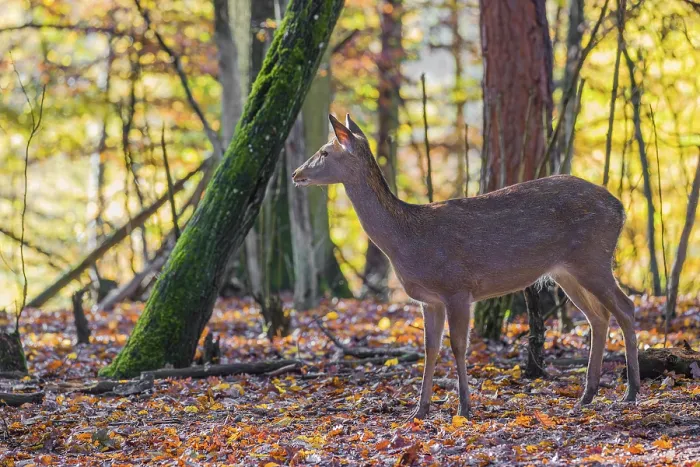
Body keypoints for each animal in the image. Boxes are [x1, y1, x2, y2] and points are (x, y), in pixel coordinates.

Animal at [292, 113, 640, 420]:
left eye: (324, 151)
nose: (296, 173)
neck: (406, 241)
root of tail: (621, 209)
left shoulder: (457, 287)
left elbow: (459, 347)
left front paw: (464, 408)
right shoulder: (429, 300)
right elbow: (430, 349)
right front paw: (419, 410)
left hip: (593, 257)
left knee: (626, 307)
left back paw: (631, 391)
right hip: (567, 271)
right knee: (599, 316)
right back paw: (587, 395)